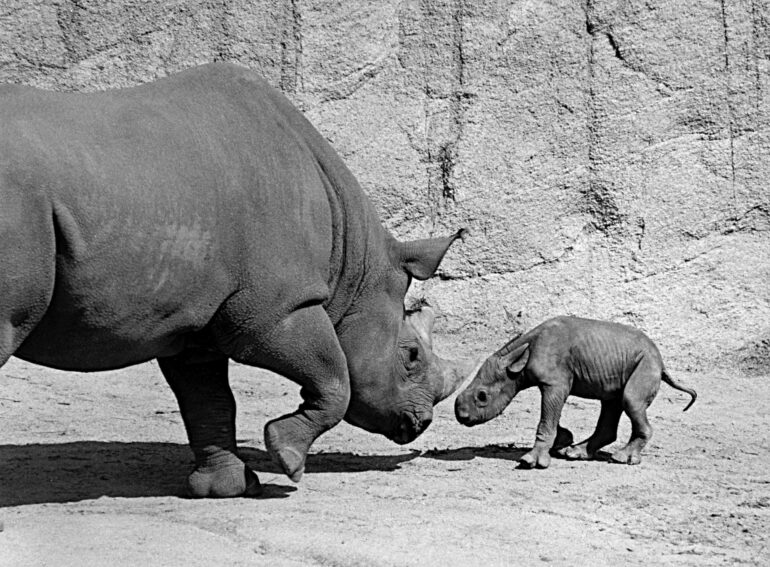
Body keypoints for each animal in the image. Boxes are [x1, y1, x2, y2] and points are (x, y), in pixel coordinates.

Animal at [0, 63, 471, 497]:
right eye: (411, 355)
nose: (421, 422)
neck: (355, 271)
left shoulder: (195, 324)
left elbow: (208, 400)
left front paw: (226, 489)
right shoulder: (276, 309)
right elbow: (335, 379)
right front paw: (288, 460)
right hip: (19, 205)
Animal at [455, 316, 697, 468]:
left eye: (482, 396)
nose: (462, 417)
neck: (518, 362)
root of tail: (661, 360)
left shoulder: (554, 383)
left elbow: (546, 419)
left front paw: (530, 462)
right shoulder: (554, 382)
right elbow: (550, 418)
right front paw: (562, 441)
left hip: (646, 363)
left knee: (631, 401)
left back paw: (621, 459)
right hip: (626, 363)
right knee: (612, 401)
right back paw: (574, 453)